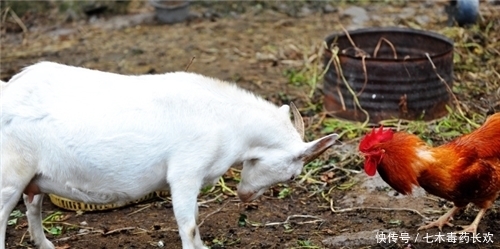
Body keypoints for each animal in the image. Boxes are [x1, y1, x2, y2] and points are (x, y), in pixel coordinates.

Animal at [0, 60, 340, 249]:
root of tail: (9, 89)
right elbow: (188, 225)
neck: (227, 122)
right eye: (294, 175)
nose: (245, 196)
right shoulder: (185, 173)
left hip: (35, 175)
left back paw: (45, 244)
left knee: (32, 206)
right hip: (10, 174)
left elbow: (195, 221)